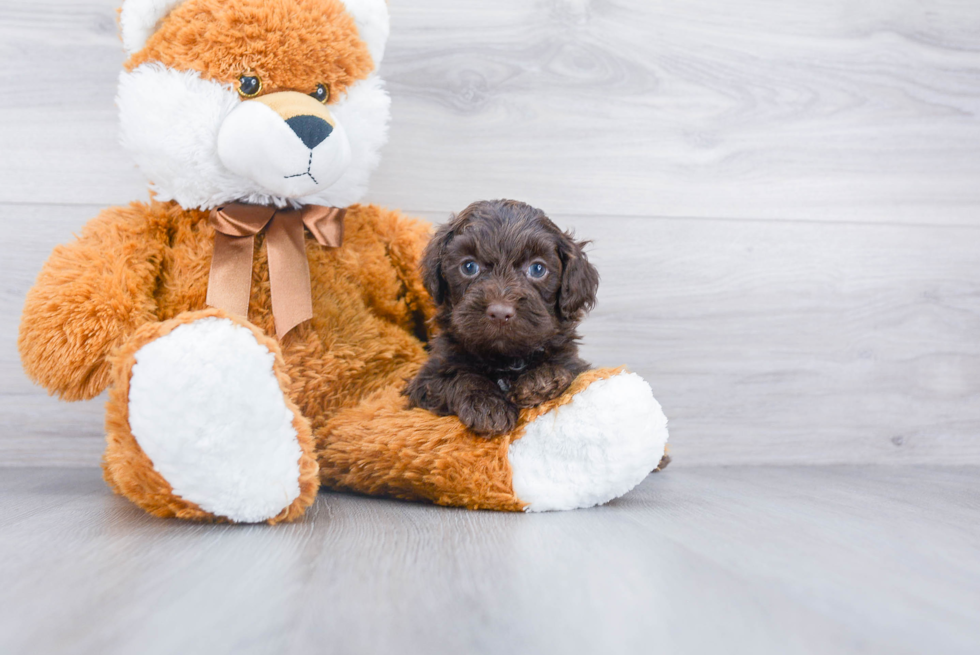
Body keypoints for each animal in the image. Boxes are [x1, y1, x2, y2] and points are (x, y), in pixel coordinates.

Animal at [404, 200, 600, 436]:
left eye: (538, 269)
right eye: (469, 266)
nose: (499, 312)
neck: (505, 360)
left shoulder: (575, 364)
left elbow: (567, 370)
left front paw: (541, 379)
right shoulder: (425, 381)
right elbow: (458, 377)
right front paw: (487, 406)